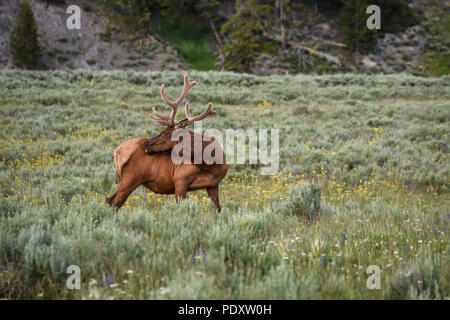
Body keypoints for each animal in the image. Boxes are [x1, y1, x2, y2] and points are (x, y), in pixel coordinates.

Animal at [105, 74, 229, 211]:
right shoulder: (180, 179)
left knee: (111, 200)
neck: (210, 165)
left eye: (164, 133)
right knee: (113, 201)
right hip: (130, 178)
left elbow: (218, 208)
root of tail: (117, 151)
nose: (146, 144)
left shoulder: (213, 185)